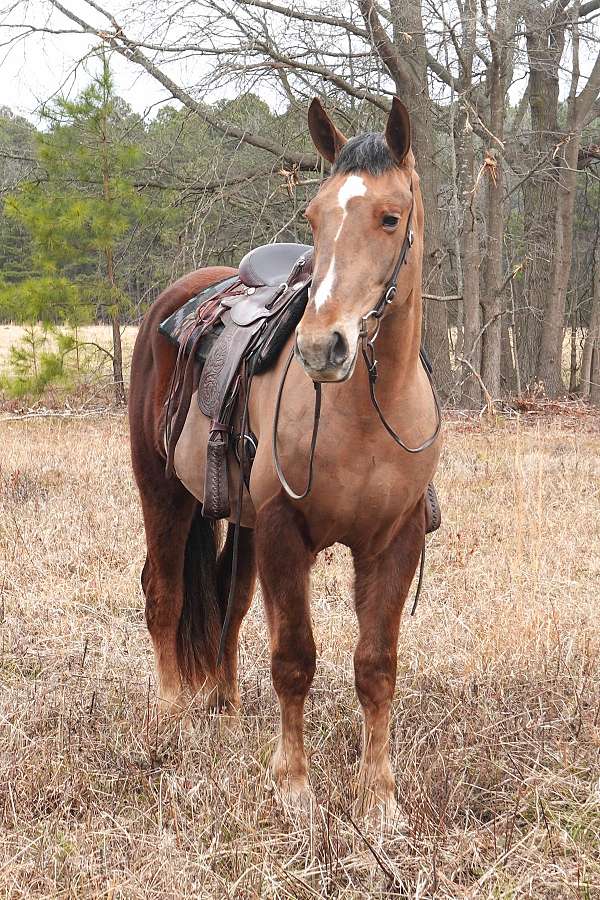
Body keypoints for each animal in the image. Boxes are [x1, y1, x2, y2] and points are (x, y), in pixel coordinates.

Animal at [129, 97, 441, 816]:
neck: (367, 414)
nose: (322, 347)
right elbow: (294, 658)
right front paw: (294, 787)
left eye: (390, 217)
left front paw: (378, 797)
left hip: (236, 519)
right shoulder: (282, 531)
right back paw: (169, 714)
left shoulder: (395, 540)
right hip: (163, 493)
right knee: (165, 595)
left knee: (230, 602)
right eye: (314, 217)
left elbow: (375, 666)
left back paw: (228, 709)